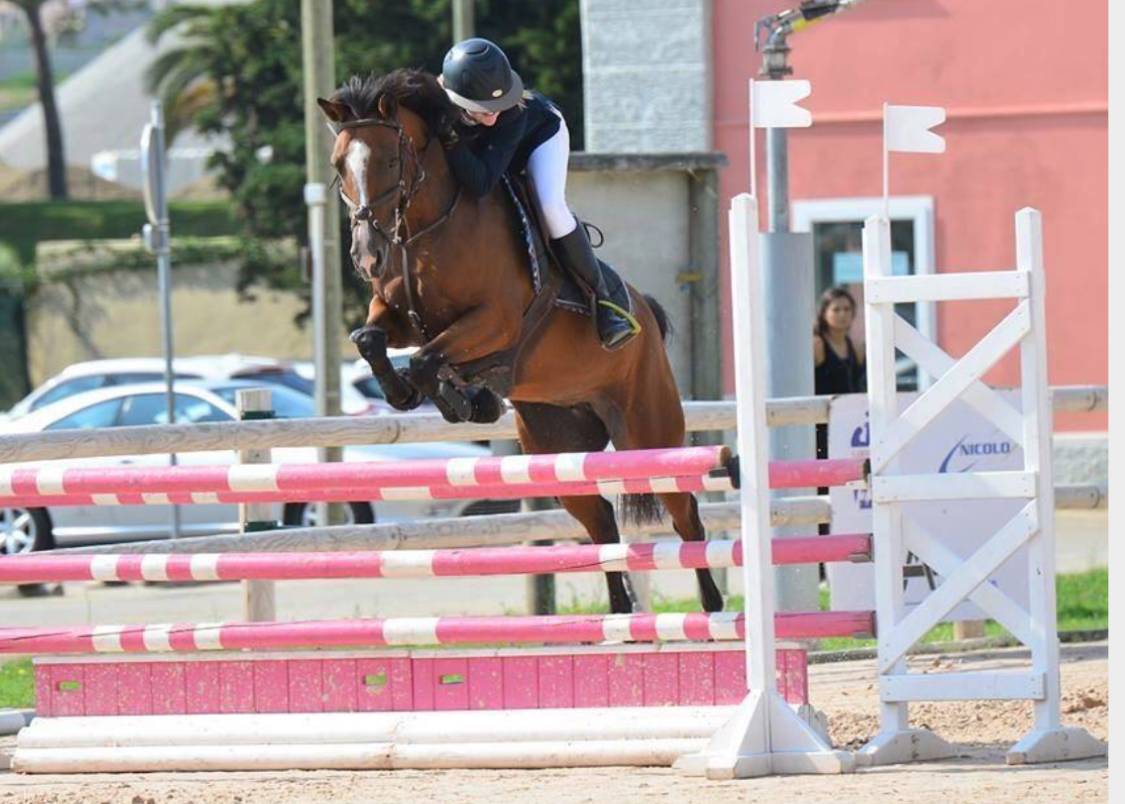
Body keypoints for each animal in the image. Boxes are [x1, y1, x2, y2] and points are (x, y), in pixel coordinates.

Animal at [318, 69, 722, 614]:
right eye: (339, 165)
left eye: (389, 160)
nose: (366, 257)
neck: (424, 229)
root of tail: (648, 319)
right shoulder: (398, 316)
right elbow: (369, 338)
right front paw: (428, 395)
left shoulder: (496, 320)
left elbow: (425, 359)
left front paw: (457, 398)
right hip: (557, 447)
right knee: (601, 523)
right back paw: (620, 618)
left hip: (649, 433)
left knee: (687, 516)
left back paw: (715, 608)